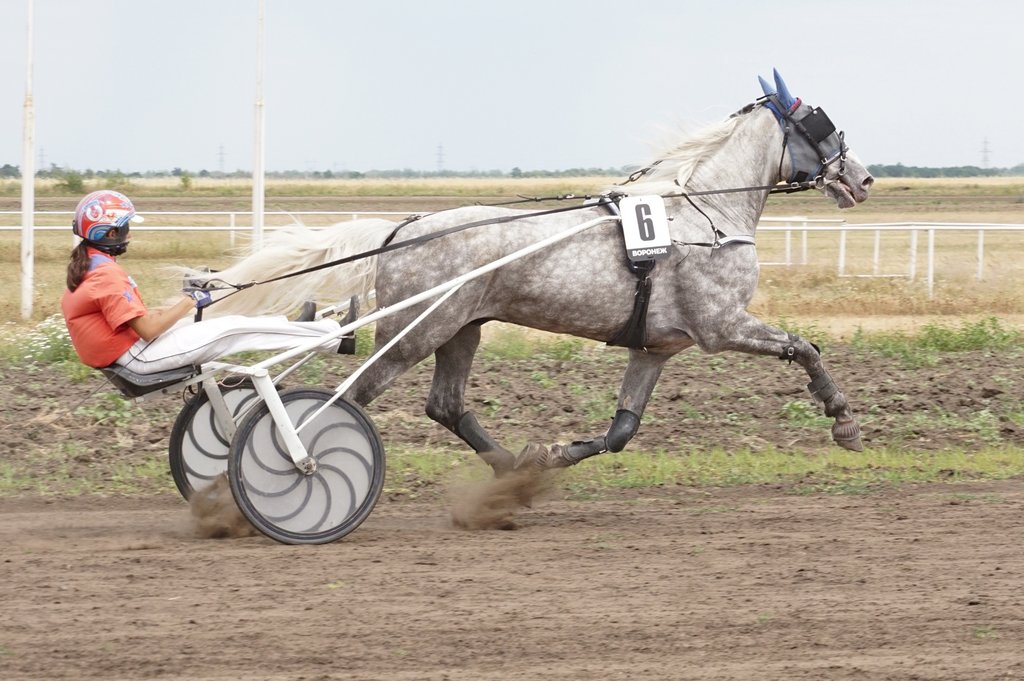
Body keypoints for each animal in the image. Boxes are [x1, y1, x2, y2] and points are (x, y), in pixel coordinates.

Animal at [199, 69, 872, 473]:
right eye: (819, 121)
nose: (862, 177)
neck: (705, 214)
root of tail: (404, 229)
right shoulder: (722, 326)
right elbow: (805, 347)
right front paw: (842, 420)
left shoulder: (656, 347)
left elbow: (622, 428)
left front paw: (553, 452)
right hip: (414, 333)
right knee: (350, 398)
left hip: (459, 331)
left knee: (445, 406)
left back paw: (510, 467)